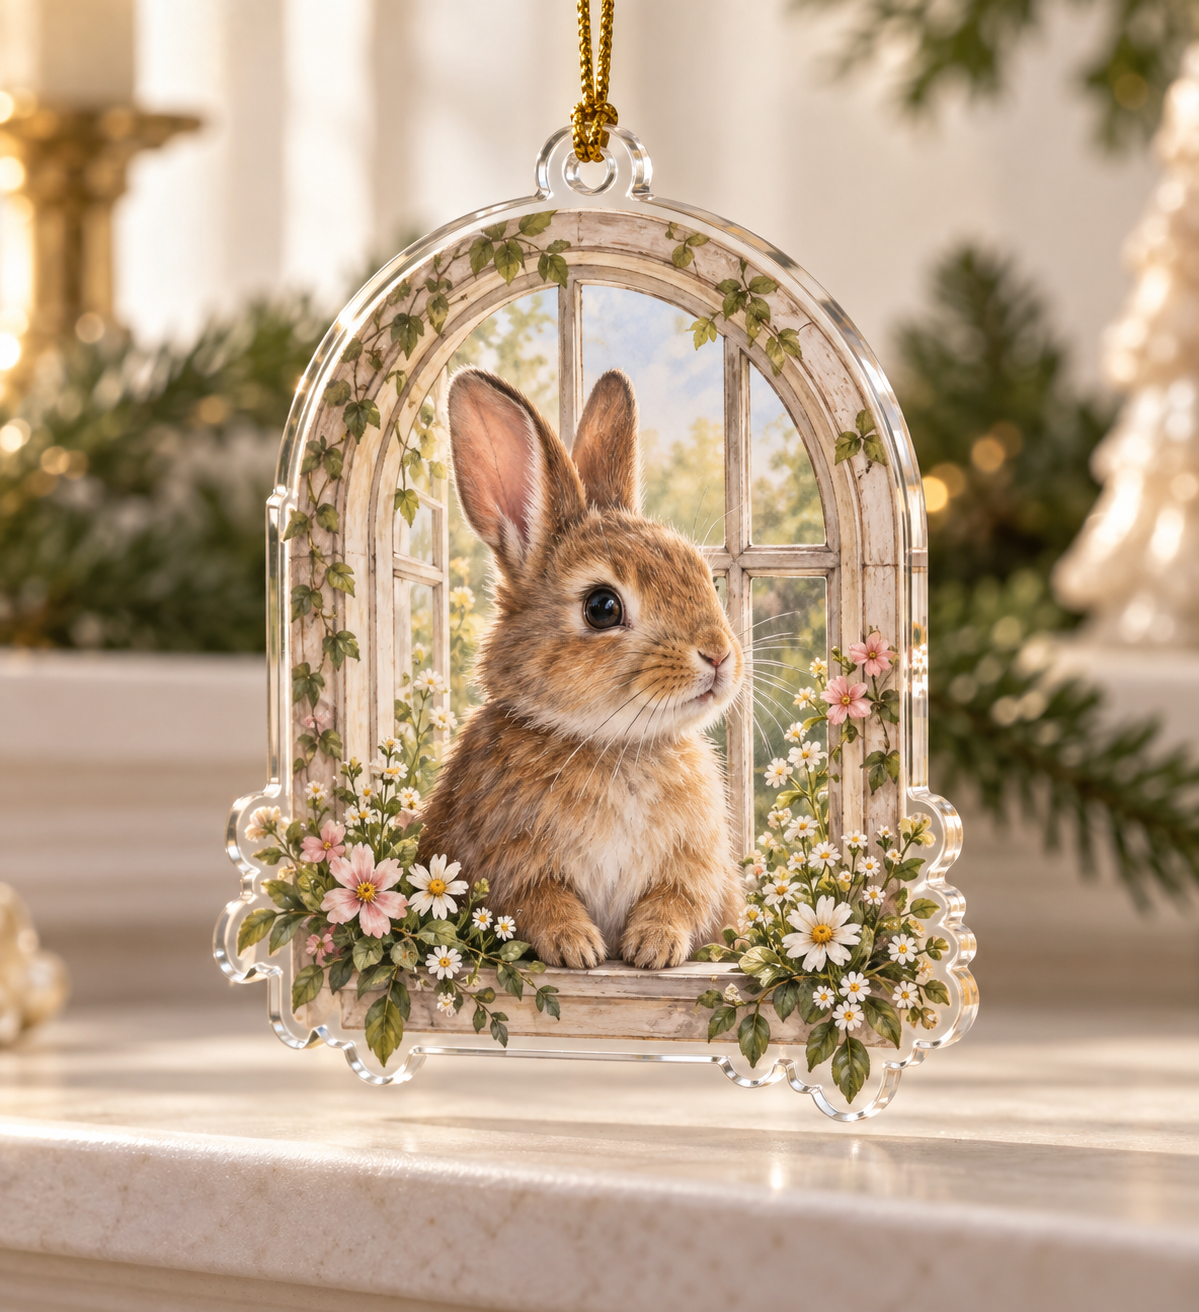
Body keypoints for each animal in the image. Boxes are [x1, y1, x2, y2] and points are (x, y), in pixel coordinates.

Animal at [416, 367, 744, 970]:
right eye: (602, 607)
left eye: (704, 575)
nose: (718, 655)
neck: (615, 746)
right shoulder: (504, 863)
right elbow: (538, 900)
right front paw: (580, 948)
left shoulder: (695, 868)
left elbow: (680, 899)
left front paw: (653, 947)